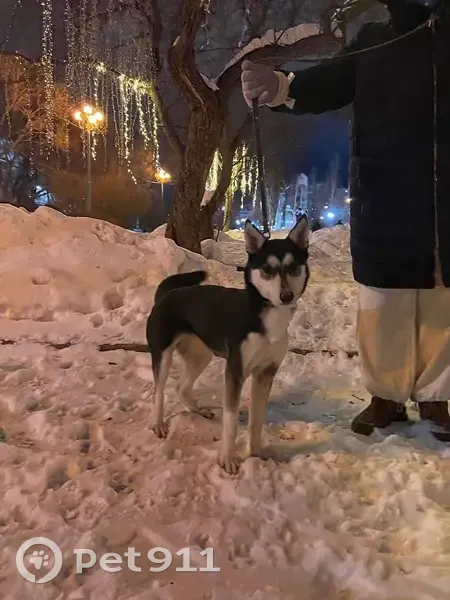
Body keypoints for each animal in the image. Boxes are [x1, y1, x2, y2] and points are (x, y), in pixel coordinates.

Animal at [146, 216, 309, 474]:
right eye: (267, 270)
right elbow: (231, 422)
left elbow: (257, 420)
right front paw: (227, 459)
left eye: (294, 267)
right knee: (159, 392)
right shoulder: (235, 372)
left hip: (201, 356)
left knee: (182, 386)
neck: (266, 317)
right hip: (163, 358)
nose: (286, 296)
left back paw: (197, 410)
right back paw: (158, 423)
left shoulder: (265, 373)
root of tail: (165, 295)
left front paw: (256, 452)